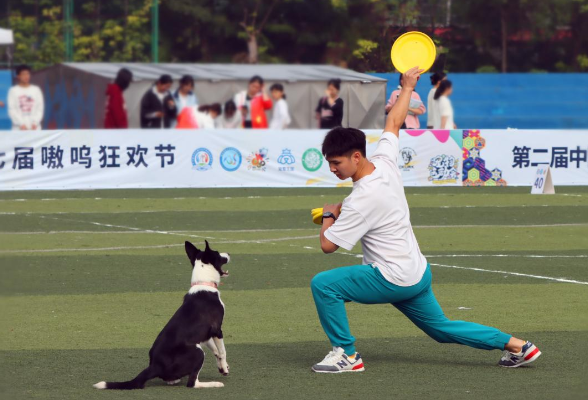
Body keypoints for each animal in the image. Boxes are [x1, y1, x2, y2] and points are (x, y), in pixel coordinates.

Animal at [93, 241, 230, 390]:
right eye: (217, 253)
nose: (229, 253)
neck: (203, 283)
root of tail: (155, 366)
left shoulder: (205, 334)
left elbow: (216, 351)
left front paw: (222, 366)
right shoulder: (217, 329)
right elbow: (222, 351)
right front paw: (224, 368)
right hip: (197, 352)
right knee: (192, 383)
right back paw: (214, 383)